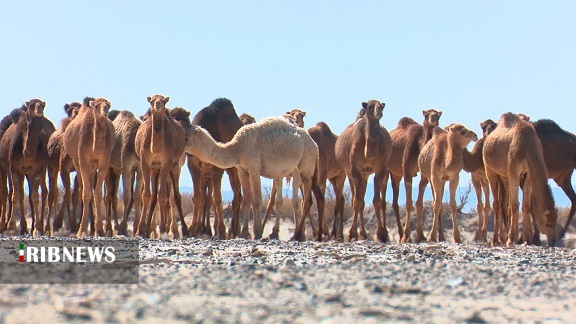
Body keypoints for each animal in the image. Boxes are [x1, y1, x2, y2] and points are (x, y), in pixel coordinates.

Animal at [183, 116, 322, 240]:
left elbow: (257, 200)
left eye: (187, 138)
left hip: (305, 167)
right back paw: (284, 234)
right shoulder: (242, 170)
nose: (181, 148)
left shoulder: (254, 169)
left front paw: (258, 232)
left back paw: (297, 235)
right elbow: (247, 200)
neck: (237, 148)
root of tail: (315, 145)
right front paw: (244, 233)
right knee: (291, 200)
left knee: (305, 201)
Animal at [188, 97, 244, 239]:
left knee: (237, 196)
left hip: (235, 168)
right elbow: (197, 197)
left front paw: (221, 231)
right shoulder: (193, 165)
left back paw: (234, 231)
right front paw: (192, 229)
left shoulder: (216, 167)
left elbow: (217, 198)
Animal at [332, 100, 392, 242]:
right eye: (370, 106)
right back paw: (357, 234)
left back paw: (367, 234)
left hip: (365, 175)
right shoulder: (354, 169)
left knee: (365, 200)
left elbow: (376, 201)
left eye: (381, 106)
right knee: (357, 199)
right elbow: (356, 201)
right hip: (350, 173)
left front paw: (380, 234)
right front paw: (351, 234)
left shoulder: (380, 169)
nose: (379, 111)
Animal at [388, 109, 446, 243]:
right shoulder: (407, 173)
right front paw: (406, 236)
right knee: (391, 202)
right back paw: (398, 235)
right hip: (387, 170)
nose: (433, 119)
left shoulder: (425, 176)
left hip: (396, 174)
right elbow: (409, 203)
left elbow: (420, 204)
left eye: (438, 115)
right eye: (426, 115)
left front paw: (422, 235)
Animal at [484, 112, 556, 247]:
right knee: (496, 203)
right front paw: (511, 239)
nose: (553, 241)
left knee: (503, 204)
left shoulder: (527, 174)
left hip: (504, 176)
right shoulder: (514, 170)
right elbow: (514, 204)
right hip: (490, 171)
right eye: (548, 224)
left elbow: (526, 205)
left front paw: (528, 239)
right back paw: (495, 240)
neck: (527, 145)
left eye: (556, 222)